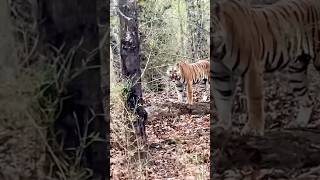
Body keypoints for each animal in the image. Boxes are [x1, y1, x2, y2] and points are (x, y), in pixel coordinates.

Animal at [211, 0, 320, 136]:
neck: (218, 53)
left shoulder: (252, 69)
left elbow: (254, 100)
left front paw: (253, 129)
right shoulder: (219, 75)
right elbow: (222, 100)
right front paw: (223, 126)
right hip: (296, 72)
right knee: (308, 99)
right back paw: (300, 123)